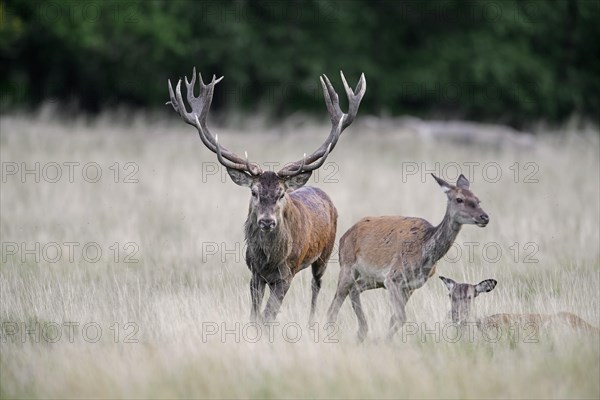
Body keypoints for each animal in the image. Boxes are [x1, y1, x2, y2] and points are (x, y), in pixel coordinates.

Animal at [168, 69, 366, 324]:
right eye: (254, 192)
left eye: (281, 194)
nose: (267, 221)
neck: (269, 260)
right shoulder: (254, 272)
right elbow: (255, 315)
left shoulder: (286, 273)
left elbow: (267, 315)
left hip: (326, 253)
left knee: (316, 287)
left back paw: (311, 321)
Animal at [328, 173, 488, 342]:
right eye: (459, 199)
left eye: (478, 200)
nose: (485, 217)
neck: (425, 254)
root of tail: (344, 236)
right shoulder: (392, 278)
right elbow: (401, 317)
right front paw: (383, 341)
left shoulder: (410, 286)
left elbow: (394, 317)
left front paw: (386, 340)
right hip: (347, 266)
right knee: (334, 305)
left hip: (372, 278)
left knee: (354, 289)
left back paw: (361, 333)